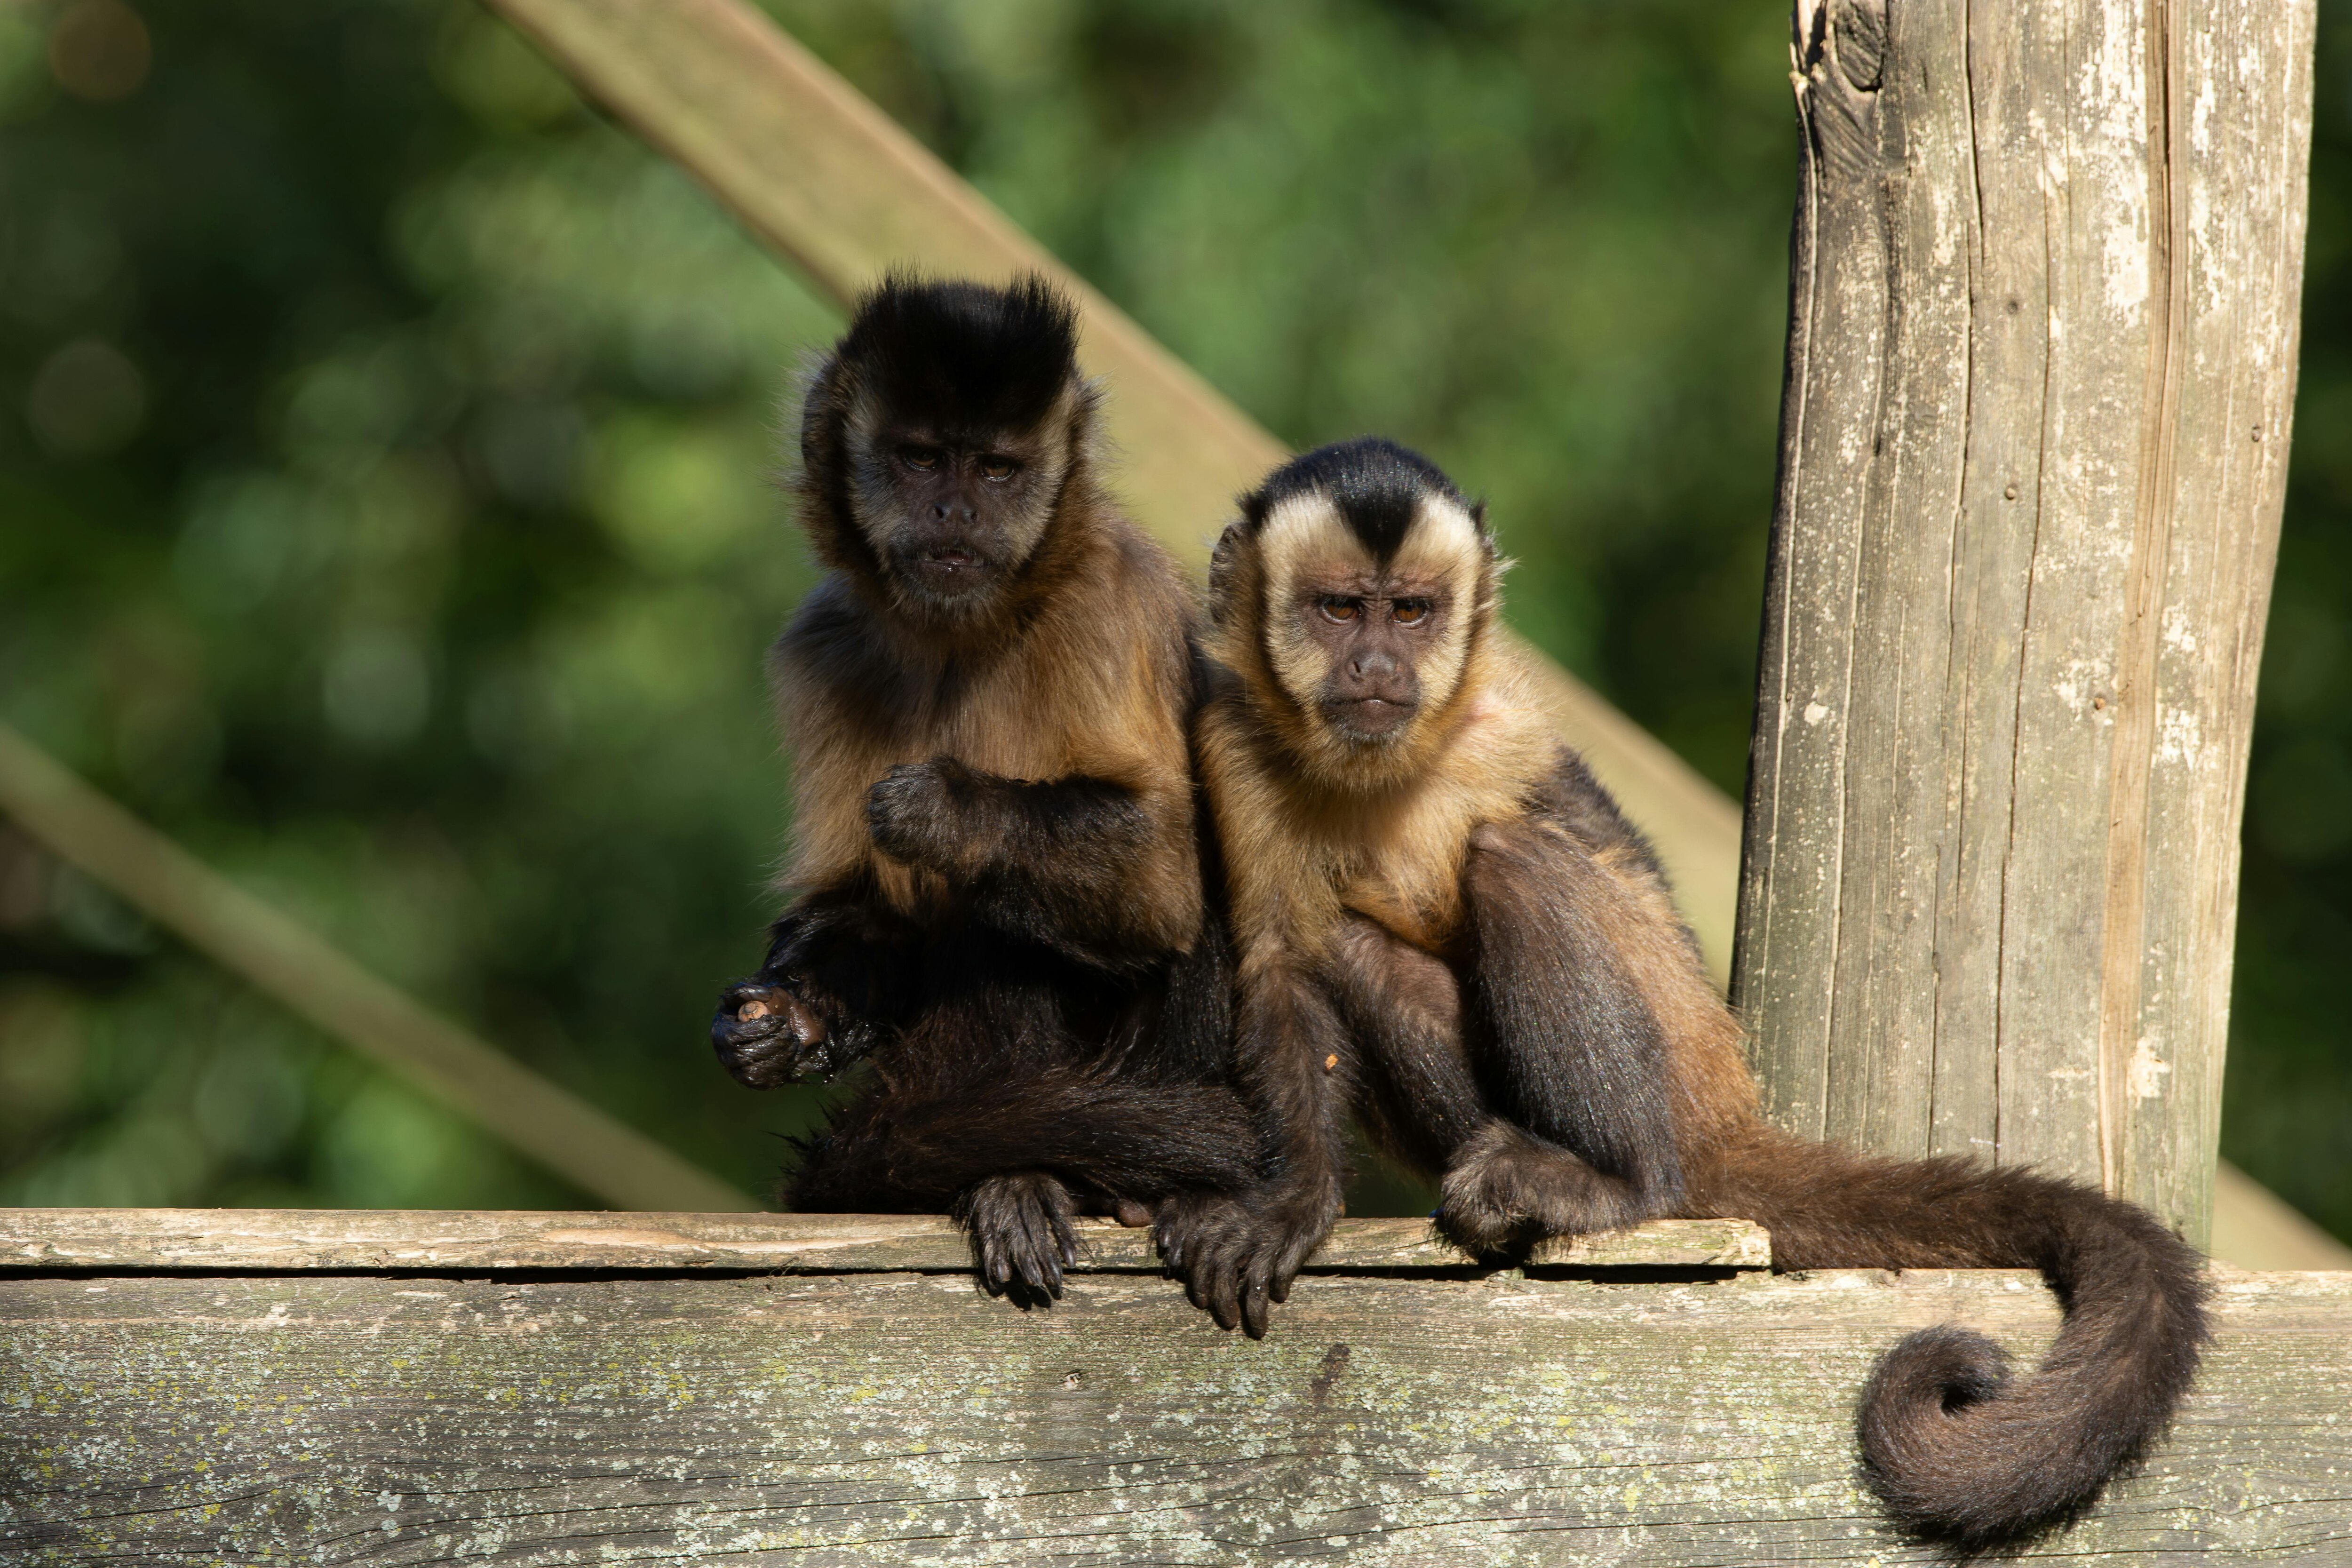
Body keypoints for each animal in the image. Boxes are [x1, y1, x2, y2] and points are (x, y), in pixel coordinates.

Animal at [707, 275, 1255, 1302]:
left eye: (996, 471)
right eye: (923, 460)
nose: (956, 515)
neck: (964, 630)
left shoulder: (1109, 597)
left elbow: (1164, 874)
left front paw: (943, 809)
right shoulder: (826, 643)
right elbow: (863, 906)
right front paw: (792, 1022)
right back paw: (1014, 1174)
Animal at [1158, 435, 2209, 1547]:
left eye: (1409, 613)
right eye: (1336, 609)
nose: (1376, 667)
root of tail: (1724, 1115)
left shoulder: (1499, 722)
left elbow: (1602, 849)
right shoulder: (1231, 743)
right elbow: (1282, 963)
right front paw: (1290, 1202)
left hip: (1680, 1065)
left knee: (1515, 856)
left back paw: (1621, 1181)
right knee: (1356, 944)